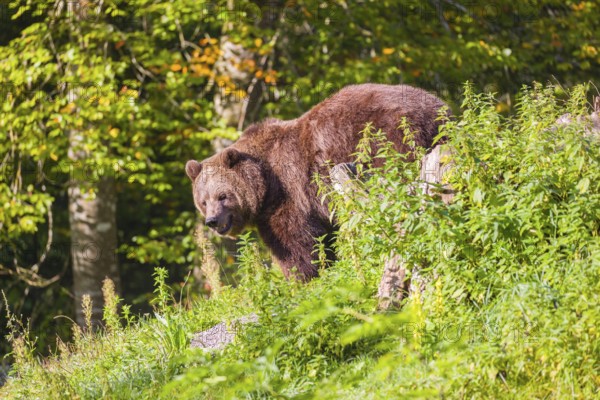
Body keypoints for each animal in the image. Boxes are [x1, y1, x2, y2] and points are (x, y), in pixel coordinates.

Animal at [188, 83, 450, 280]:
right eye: (203, 201)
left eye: (222, 195)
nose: (212, 221)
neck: (264, 186)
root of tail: (437, 106)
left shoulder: (289, 196)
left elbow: (296, 244)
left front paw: (303, 278)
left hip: (388, 141)